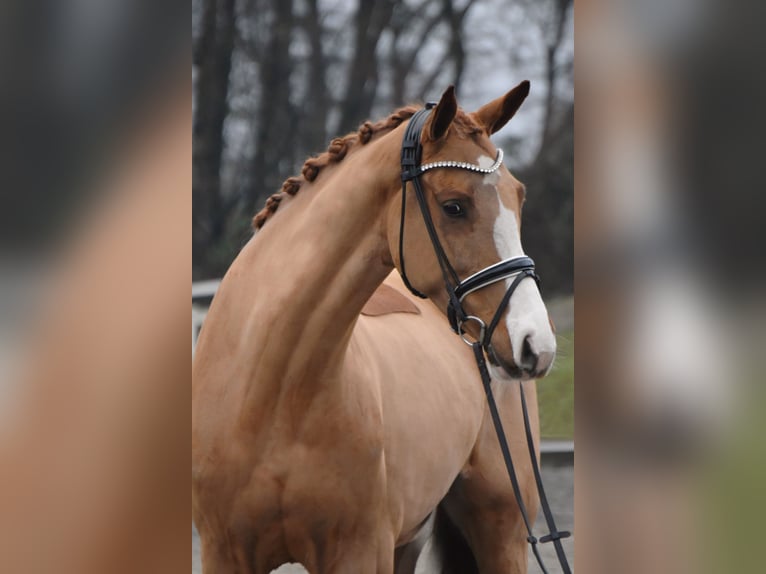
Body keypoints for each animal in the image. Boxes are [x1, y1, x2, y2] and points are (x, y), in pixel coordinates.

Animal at [192, 82, 560, 574]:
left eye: (518, 198)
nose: (535, 342)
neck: (274, 395)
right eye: (454, 206)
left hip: (502, 530)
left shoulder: (360, 551)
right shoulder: (224, 553)